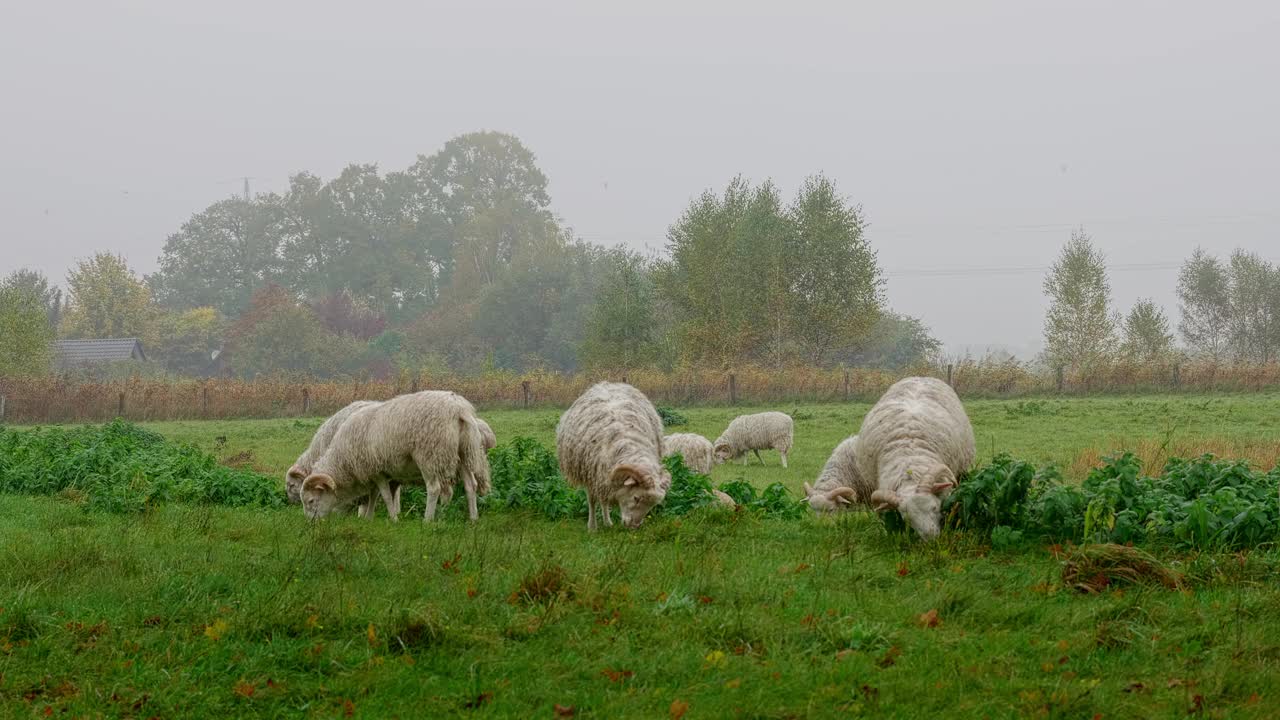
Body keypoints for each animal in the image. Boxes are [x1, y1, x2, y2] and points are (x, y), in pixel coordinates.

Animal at [302, 389, 491, 517]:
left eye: (311, 501)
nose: (311, 524)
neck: (344, 462)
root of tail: (459, 409)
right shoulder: (381, 474)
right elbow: (375, 496)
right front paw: (370, 518)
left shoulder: (377, 471)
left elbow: (385, 497)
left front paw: (393, 518)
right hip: (464, 453)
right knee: (471, 486)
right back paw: (473, 518)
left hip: (428, 455)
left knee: (434, 489)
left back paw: (427, 520)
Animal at [558, 381, 675, 527]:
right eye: (636, 498)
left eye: (652, 505)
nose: (634, 526)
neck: (629, 446)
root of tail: (608, 384)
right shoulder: (591, 474)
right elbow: (592, 500)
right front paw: (592, 526)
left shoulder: (603, 475)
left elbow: (604, 499)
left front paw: (606, 522)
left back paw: (607, 522)